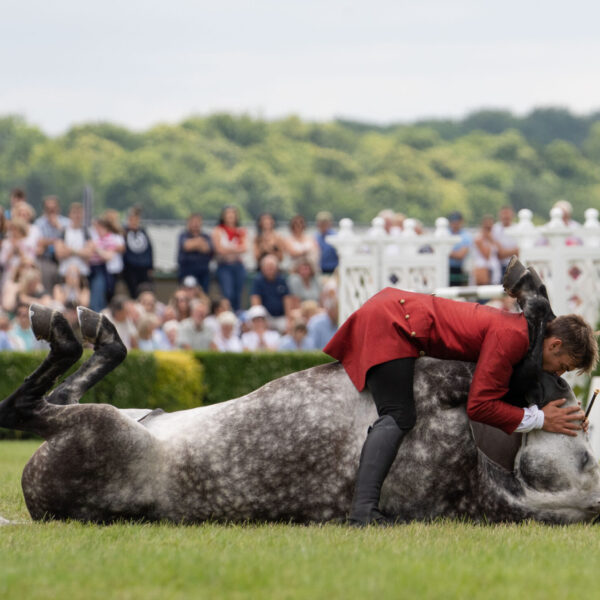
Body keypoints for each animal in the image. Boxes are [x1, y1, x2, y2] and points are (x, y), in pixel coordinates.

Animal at [1, 308, 600, 524]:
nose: (564, 391)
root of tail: (34, 502)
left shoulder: (446, 382)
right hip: (129, 415)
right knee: (59, 393)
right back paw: (95, 328)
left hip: (97, 427)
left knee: (21, 408)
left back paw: (65, 328)